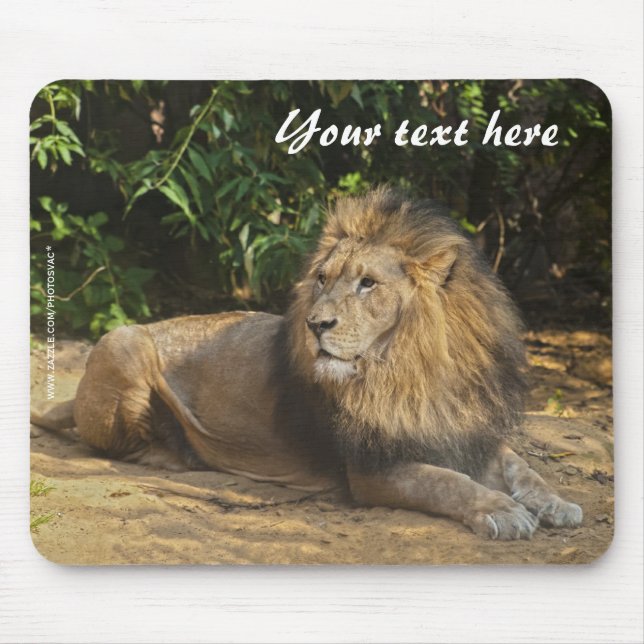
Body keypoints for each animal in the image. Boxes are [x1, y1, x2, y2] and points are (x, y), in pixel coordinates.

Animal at [32, 187, 582, 540]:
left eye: (367, 283)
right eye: (322, 278)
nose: (316, 324)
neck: (413, 369)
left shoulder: (468, 431)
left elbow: (523, 468)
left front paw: (557, 503)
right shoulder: (372, 468)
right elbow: (448, 482)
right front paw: (502, 512)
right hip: (123, 341)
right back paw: (178, 451)